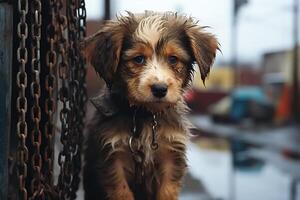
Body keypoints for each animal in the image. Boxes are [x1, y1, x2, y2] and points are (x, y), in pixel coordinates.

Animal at [82, 11, 218, 200]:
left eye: (173, 59)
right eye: (138, 59)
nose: (160, 89)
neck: (146, 116)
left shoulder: (171, 156)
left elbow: (167, 192)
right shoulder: (112, 159)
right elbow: (122, 192)